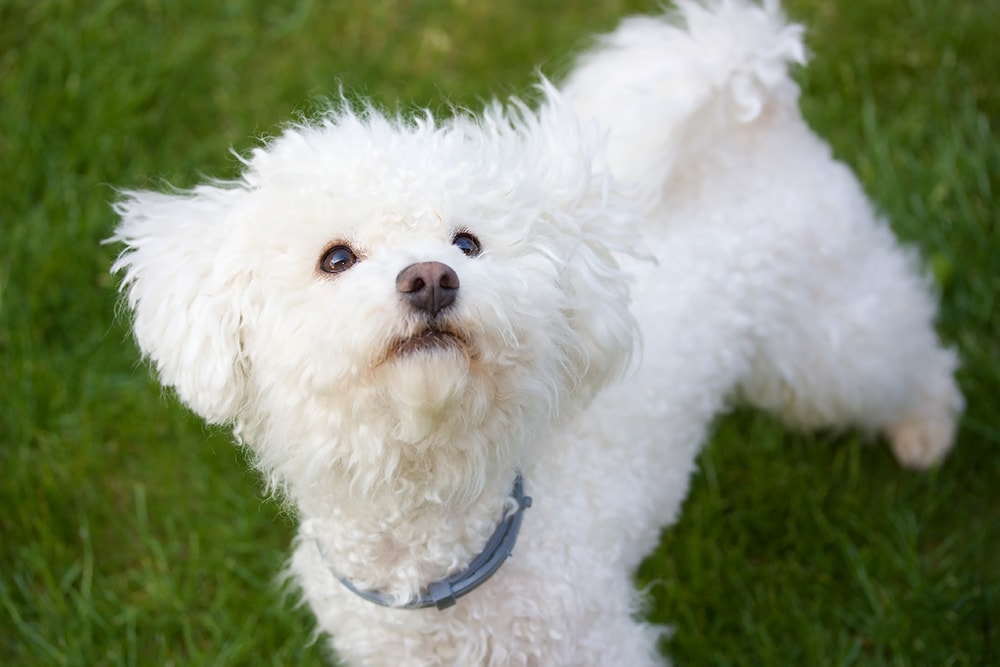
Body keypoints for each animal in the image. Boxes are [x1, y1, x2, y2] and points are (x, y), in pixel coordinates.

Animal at [109, 1, 960, 664]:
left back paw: (927, 428)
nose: (431, 278)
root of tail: (757, 109)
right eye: (336, 257)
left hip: (828, 340)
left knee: (909, 350)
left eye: (467, 243)